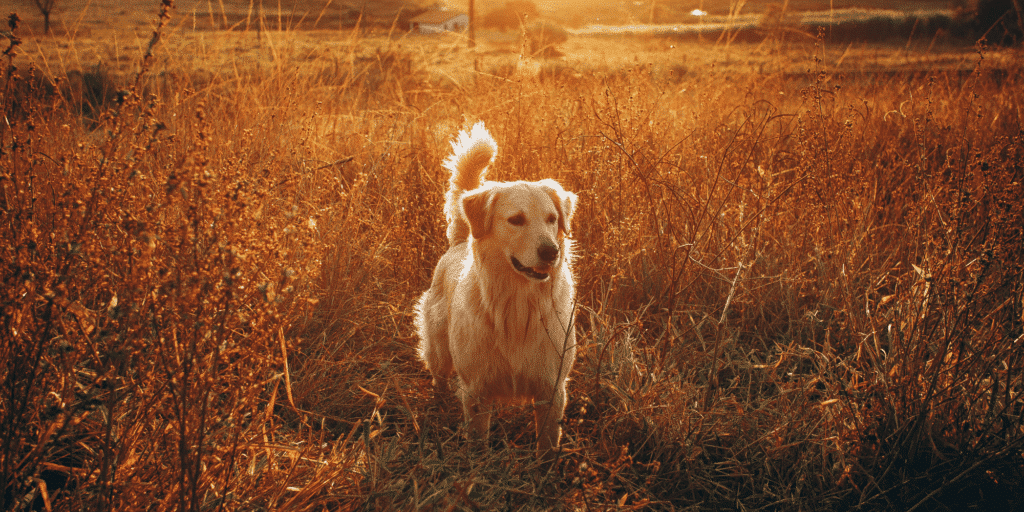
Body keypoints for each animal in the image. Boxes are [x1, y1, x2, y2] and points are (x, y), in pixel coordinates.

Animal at [413, 121, 577, 458]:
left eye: (552, 219)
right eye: (516, 220)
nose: (551, 252)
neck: (519, 304)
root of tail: (460, 240)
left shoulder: (552, 387)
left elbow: (547, 442)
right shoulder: (477, 389)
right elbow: (477, 440)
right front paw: (478, 464)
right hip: (439, 349)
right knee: (438, 377)